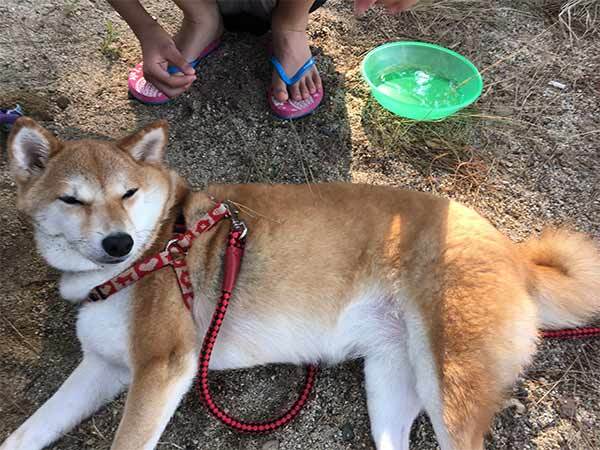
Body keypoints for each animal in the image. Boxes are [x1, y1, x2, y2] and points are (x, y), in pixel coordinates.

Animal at [3, 118, 600, 450]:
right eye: (72, 199)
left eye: (128, 193)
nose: (119, 242)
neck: (156, 249)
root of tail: (513, 253)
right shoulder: (105, 368)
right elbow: (27, 432)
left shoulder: (164, 366)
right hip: (390, 380)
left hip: (447, 382)